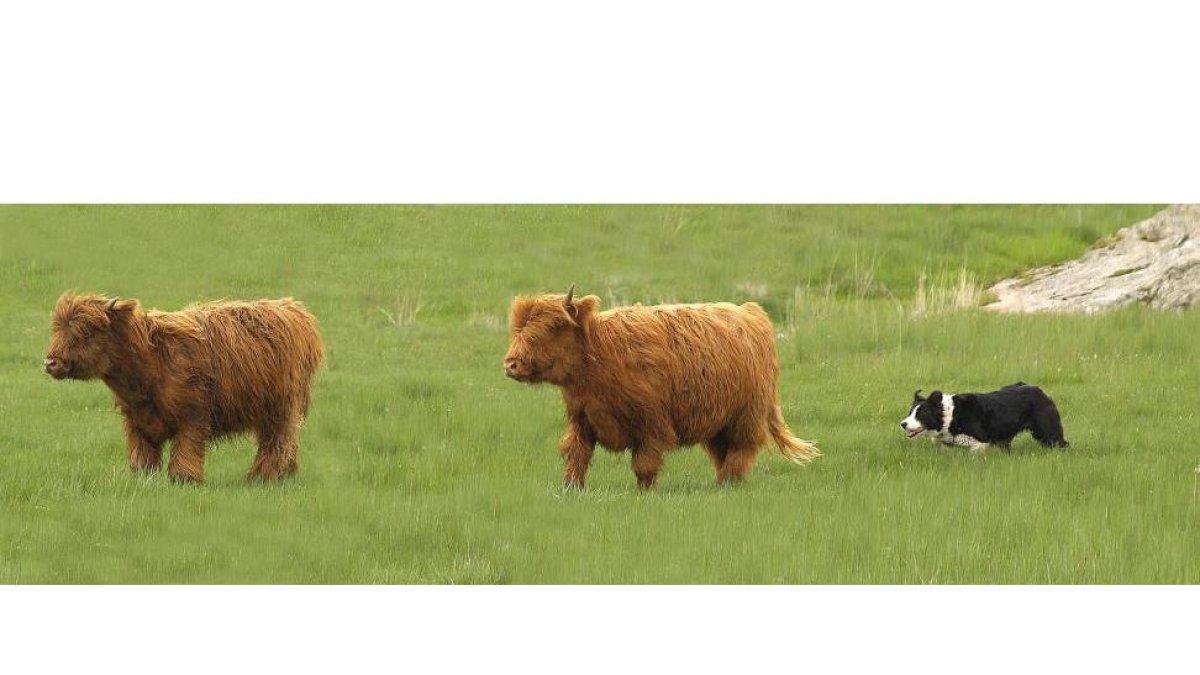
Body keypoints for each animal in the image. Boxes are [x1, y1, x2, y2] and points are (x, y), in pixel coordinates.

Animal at [44, 293, 324, 483]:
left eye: (86, 332)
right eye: (57, 330)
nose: (50, 362)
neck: (150, 362)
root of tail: (295, 310)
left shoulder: (193, 415)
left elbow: (186, 451)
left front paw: (184, 479)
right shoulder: (136, 420)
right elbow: (142, 455)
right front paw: (142, 477)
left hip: (282, 406)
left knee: (278, 441)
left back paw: (262, 477)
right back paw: (284, 475)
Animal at [503, 286, 819, 490]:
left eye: (552, 326)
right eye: (518, 328)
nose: (511, 364)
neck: (599, 355)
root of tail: (751, 312)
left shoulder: (651, 423)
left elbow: (644, 464)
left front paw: (645, 493)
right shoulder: (583, 420)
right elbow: (576, 456)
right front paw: (571, 490)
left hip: (746, 415)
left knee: (742, 451)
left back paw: (725, 485)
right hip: (718, 422)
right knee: (723, 453)